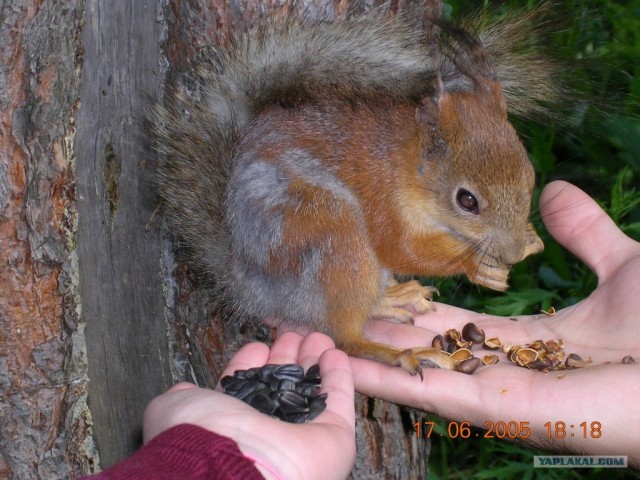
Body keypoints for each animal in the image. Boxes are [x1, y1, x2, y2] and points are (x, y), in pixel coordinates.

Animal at [152, 6, 556, 376]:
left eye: (530, 176)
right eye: (466, 200)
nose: (512, 252)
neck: (406, 164)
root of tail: (251, 286)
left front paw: (531, 239)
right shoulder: (382, 201)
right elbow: (402, 248)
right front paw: (477, 264)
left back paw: (393, 299)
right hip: (333, 232)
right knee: (345, 338)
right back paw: (404, 352)